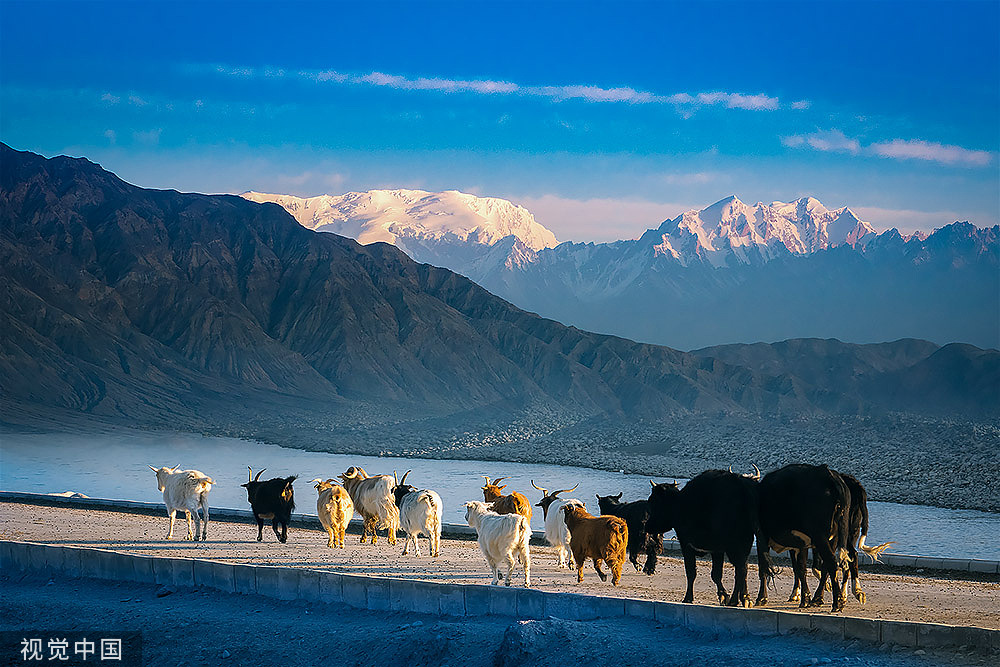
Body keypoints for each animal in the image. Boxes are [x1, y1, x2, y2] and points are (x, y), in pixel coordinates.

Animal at [640, 472, 772, 608]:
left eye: (653, 501)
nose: (647, 525)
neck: (680, 504)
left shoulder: (687, 545)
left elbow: (692, 572)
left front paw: (688, 598)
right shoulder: (717, 550)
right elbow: (716, 575)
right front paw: (724, 596)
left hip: (735, 544)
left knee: (741, 568)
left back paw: (741, 599)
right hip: (751, 541)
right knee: (748, 569)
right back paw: (746, 599)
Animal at [756, 468, 852, 612]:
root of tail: (828, 473)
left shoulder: (762, 537)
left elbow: (763, 567)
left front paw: (761, 598)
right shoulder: (800, 543)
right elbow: (801, 569)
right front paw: (805, 598)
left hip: (820, 536)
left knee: (831, 562)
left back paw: (837, 602)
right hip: (833, 538)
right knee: (827, 566)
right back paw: (818, 598)